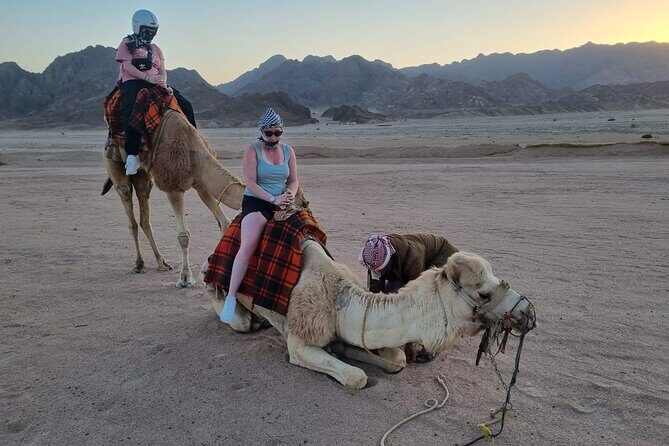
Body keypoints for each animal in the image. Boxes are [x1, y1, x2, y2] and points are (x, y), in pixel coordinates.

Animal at [203, 241, 536, 389]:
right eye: (484, 293)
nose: (529, 312)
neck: (341, 299)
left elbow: (396, 360)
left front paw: (346, 349)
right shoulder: (299, 340)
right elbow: (356, 377)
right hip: (216, 283)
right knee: (232, 312)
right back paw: (248, 317)